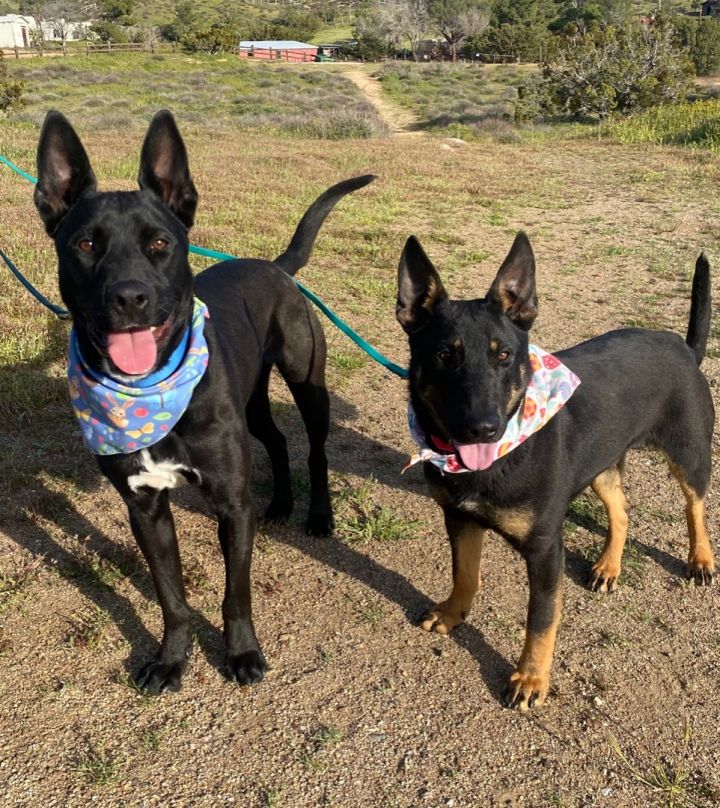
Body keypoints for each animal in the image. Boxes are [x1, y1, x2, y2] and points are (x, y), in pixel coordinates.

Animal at [34, 110, 374, 696]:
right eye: (84, 245)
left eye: (159, 243)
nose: (129, 298)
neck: (150, 392)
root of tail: (275, 266)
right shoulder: (145, 508)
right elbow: (171, 596)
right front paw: (171, 659)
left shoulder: (231, 507)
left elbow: (236, 593)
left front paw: (242, 654)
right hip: (252, 403)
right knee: (276, 441)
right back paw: (280, 504)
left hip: (308, 384)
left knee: (314, 450)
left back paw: (318, 514)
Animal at [396, 230, 716, 712]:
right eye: (443, 355)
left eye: (505, 355)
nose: (483, 427)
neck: (502, 452)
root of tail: (683, 347)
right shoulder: (459, 518)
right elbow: (465, 574)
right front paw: (453, 613)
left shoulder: (546, 550)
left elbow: (541, 620)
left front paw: (530, 678)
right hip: (600, 463)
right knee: (622, 511)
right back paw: (608, 566)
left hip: (689, 454)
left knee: (695, 508)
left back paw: (701, 559)